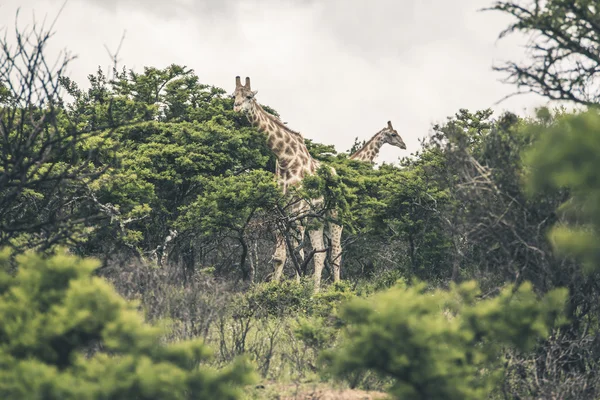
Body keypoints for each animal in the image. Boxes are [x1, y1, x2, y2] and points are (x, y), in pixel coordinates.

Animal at [231, 76, 340, 292]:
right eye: (233, 96)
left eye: (249, 96)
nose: (236, 110)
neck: (284, 158)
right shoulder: (279, 212)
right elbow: (280, 256)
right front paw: (276, 289)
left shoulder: (298, 210)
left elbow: (295, 254)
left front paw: (292, 290)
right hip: (316, 219)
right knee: (320, 253)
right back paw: (315, 293)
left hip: (334, 215)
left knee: (336, 252)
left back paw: (339, 289)